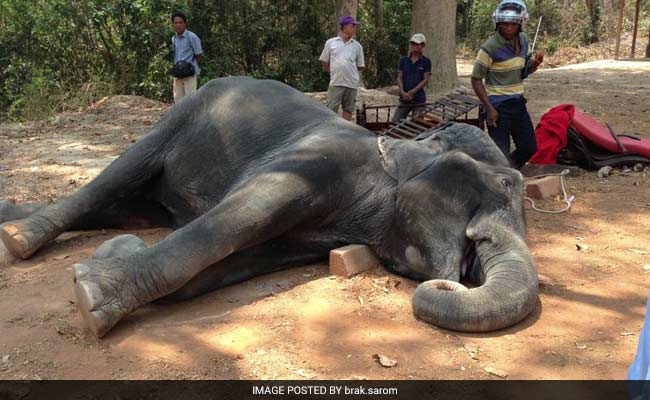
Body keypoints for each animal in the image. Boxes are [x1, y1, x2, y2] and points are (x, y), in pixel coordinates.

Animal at [0, 77, 538, 337]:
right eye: (502, 184)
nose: (455, 278)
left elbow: (233, 262)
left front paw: (114, 254)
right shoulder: (313, 162)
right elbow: (237, 218)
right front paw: (89, 298)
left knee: (123, 204)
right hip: (180, 114)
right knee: (112, 180)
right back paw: (19, 238)